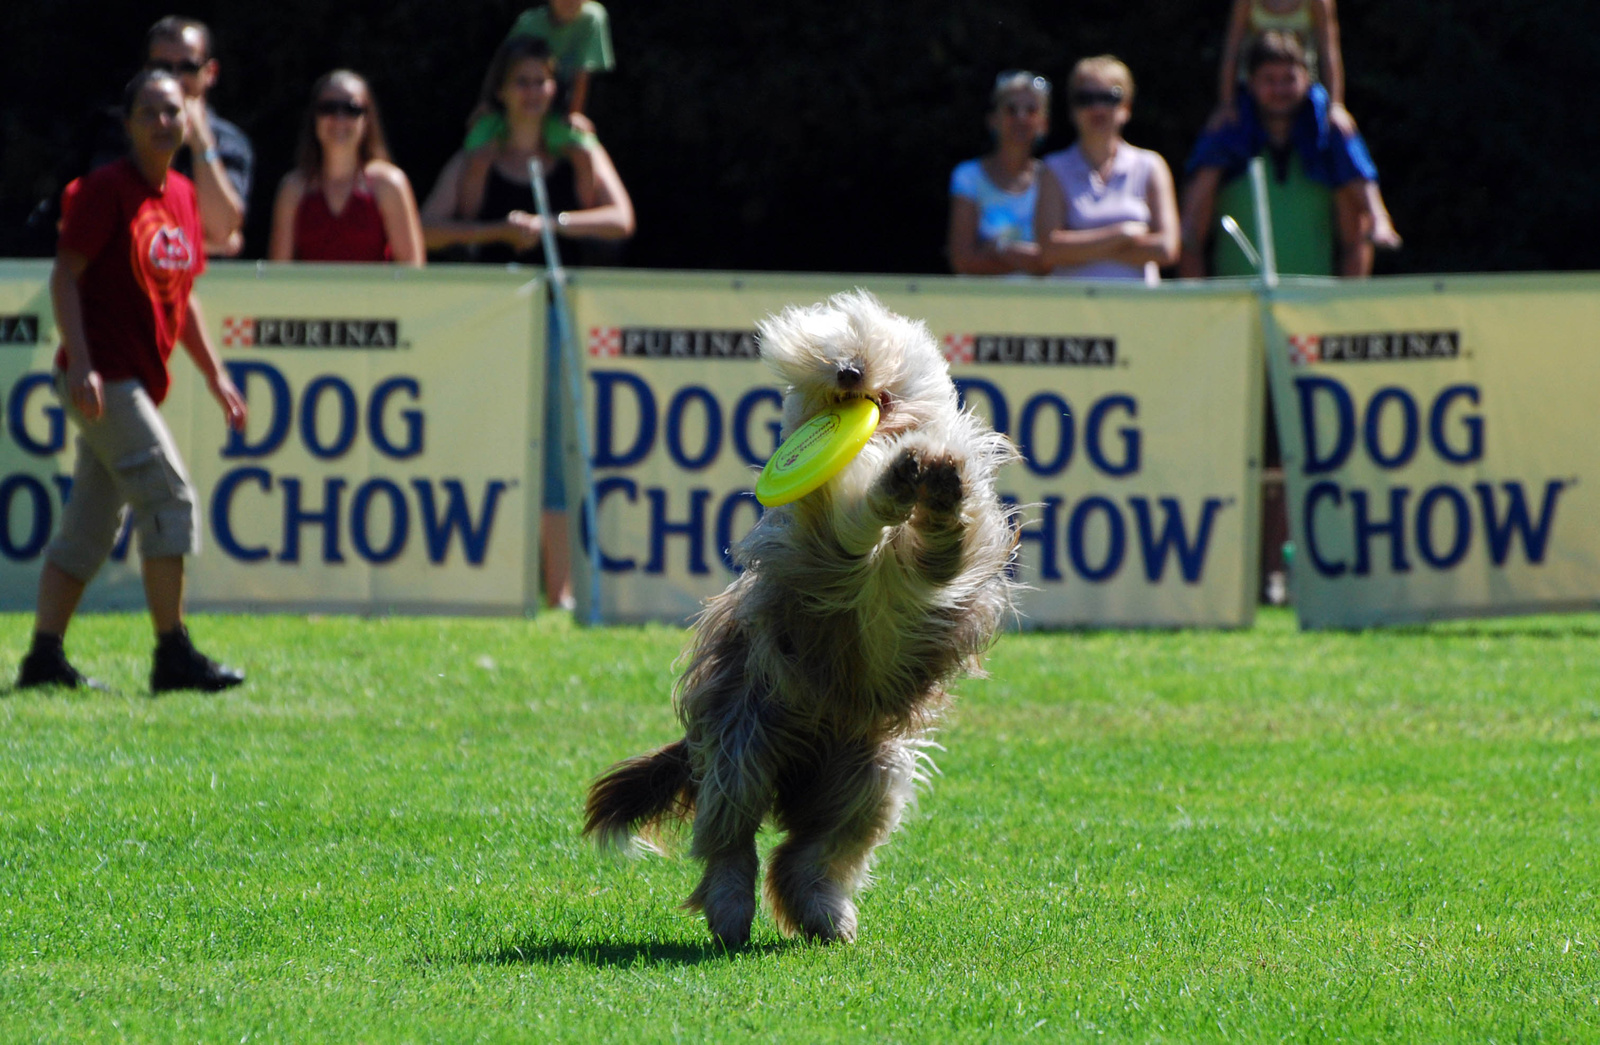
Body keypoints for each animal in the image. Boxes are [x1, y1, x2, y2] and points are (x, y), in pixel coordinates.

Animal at [585, 288, 1011, 947]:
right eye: (823, 360)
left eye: (867, 347)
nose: (849, 373)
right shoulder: (823, 551)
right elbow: (854, 516)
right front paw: (896, 480)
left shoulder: (936, 580)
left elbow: (944, 548)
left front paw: (940, 482)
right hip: (744, 741)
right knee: (730, 839)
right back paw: (732, 909)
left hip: (872, 776)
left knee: (810, 852)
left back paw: (824, 913)